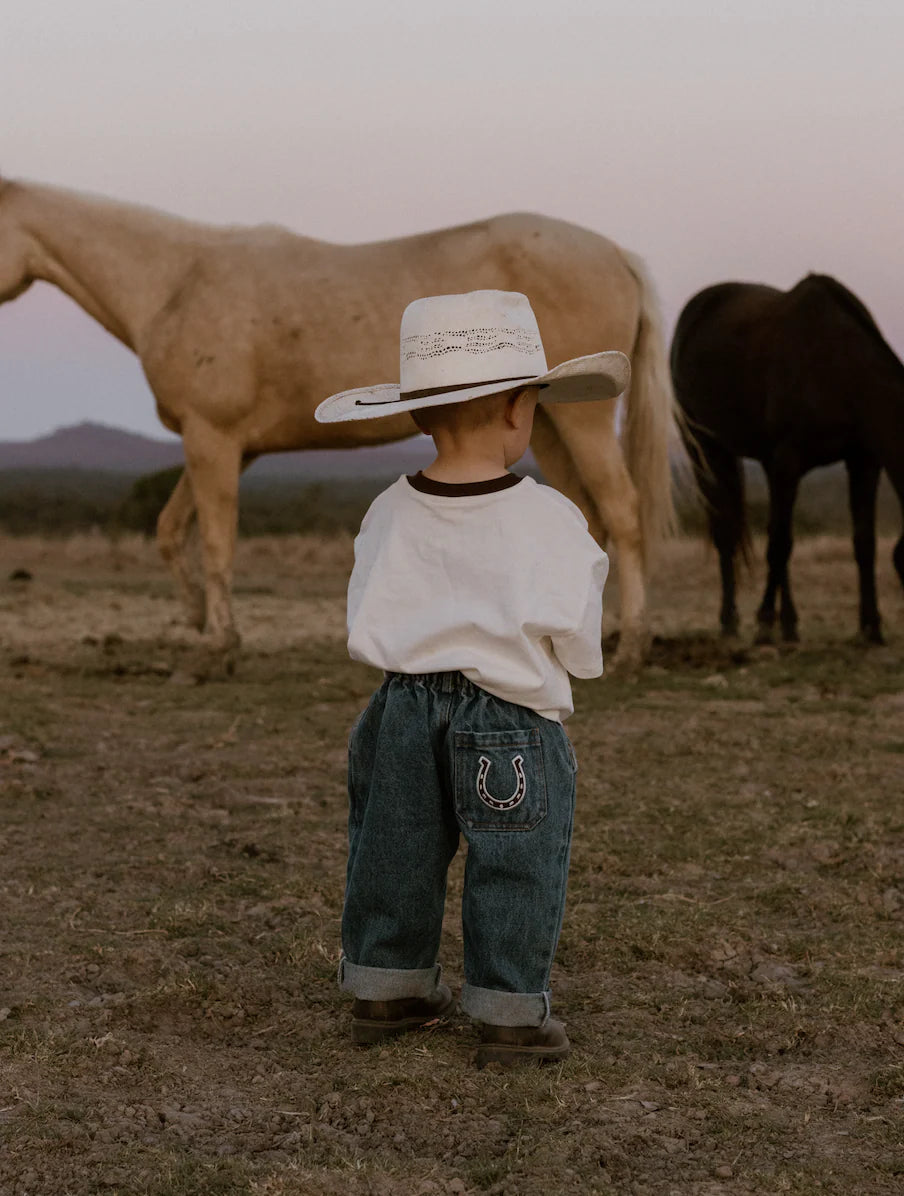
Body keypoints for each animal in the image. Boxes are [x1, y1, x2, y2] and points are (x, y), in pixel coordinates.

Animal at [0, 177, 678, 671]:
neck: (178, 282)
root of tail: (615, 253)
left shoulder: (212, 438)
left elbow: (215, 539)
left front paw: (221, 644)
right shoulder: (223, 446)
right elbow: (171, 529)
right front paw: (196, 620)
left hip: (584, 421)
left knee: (623, 512)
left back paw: (631, 647)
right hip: (550, 424)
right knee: (588, 516)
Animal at [671, 274, 904, 644]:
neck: (840, 364)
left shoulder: (863, 461)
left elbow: (863, 542)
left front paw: (871, 626)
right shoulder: (787, 460)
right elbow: (779, 544)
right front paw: (764, 622)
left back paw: (789, 624)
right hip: (705, 449)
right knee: (727, 532)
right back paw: (730, 622)